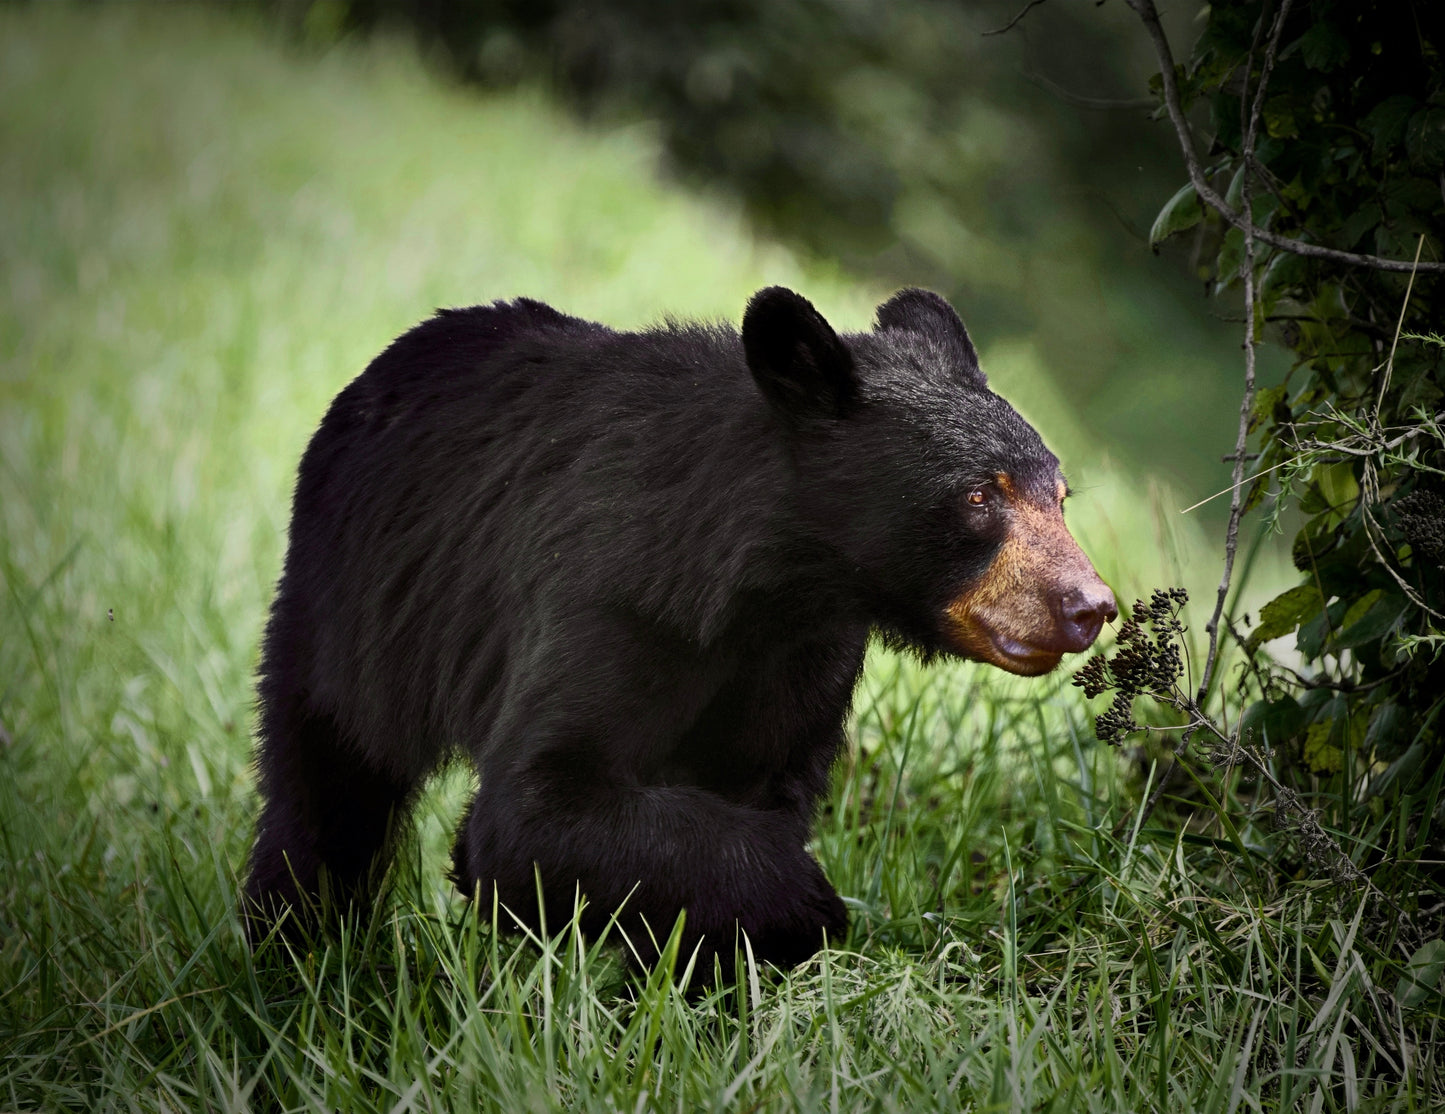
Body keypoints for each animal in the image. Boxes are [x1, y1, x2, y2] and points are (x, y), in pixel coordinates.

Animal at [243, 286, 1116, 978]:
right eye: (977, 496)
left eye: (1059, 495)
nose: (1090, 605)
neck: (769, 585)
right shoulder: (611, 598)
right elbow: (533, 808)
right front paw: (806, 904)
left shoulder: (805, 656)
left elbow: (757, 787)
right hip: (350, 613)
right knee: (324, 790)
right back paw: (296, 952)